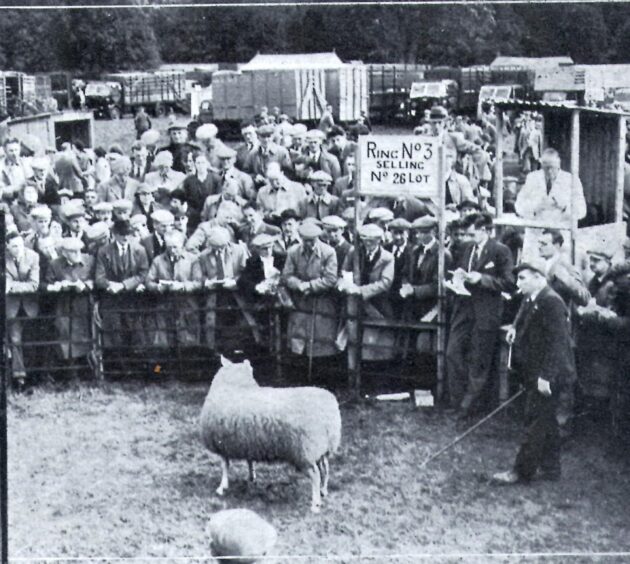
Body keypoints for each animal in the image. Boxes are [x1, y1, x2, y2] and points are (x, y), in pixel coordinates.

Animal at [201, 356, 340, 512]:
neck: (235, 385)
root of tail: (328, 411)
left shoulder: (222, 443)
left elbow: (225, 466)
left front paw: (222, 487)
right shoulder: (247, 441)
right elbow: (249, 461)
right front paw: (251, 477)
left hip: (305, 451)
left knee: (316, 475)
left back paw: (315, 505)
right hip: (322, 447)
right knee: (326, 468)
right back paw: (324, 491)